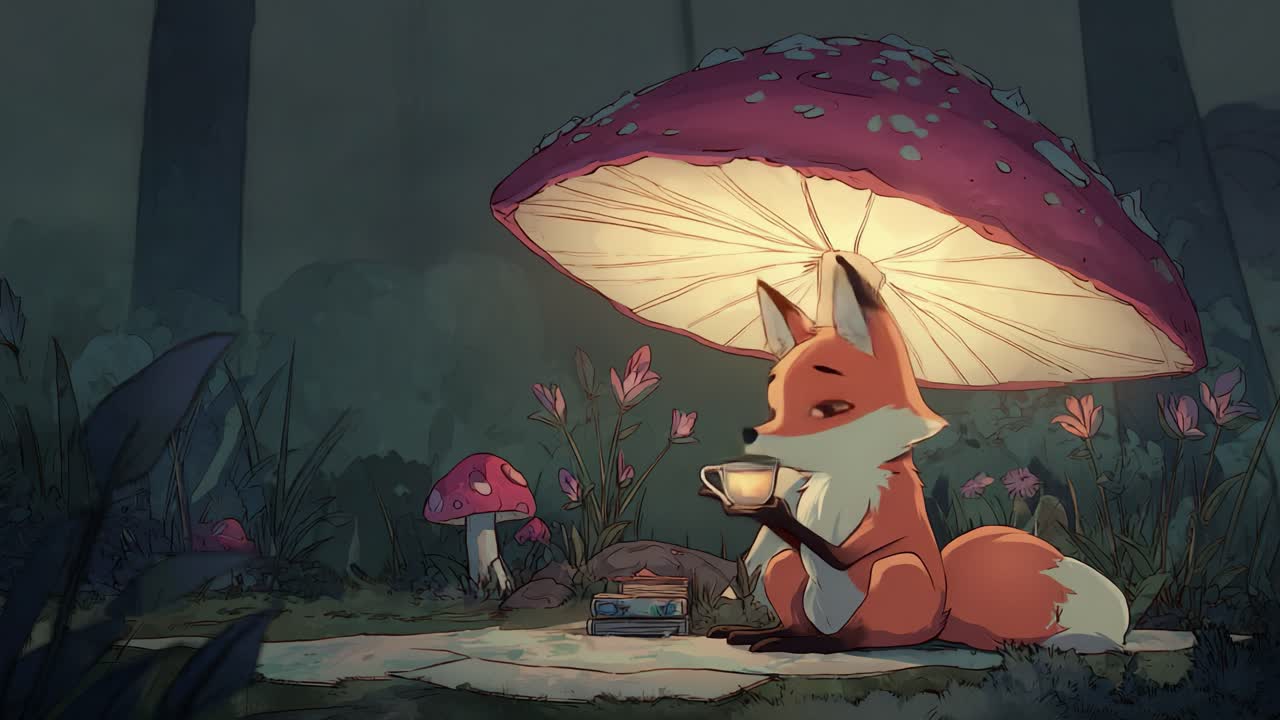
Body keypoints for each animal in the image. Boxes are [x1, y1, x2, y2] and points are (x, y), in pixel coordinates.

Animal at [700, 254, 1129, 654]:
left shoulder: (889, 509)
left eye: (831, 408)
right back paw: (764, 634)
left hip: (897, 571)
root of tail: (942, 619)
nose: (752, 434)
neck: (843, 475)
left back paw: (812, 642)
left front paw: (768, 510)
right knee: (800, 619)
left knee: (858, 638)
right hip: (786, 569)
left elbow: (842, 552)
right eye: (774, 405)